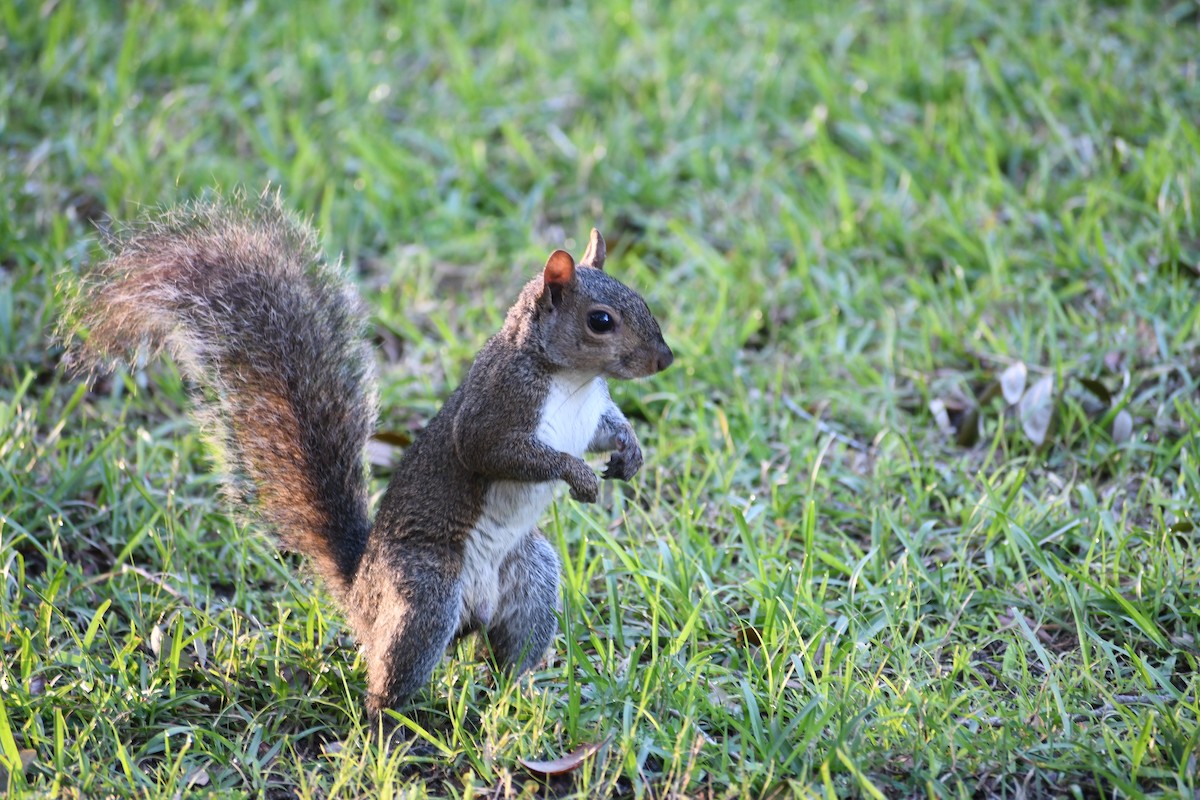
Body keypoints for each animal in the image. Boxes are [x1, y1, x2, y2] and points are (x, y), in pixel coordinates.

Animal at [62, 194, 674, 720]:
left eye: (641, 298)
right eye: (601, 320)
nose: (665, 361)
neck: (571, 380)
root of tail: (362, 595)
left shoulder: (591, 412)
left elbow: (607, 430)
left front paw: (630, 454)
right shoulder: (496, 408)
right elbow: (495, 450)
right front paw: (578, 476)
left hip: (530, 577)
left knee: (508, 652)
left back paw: (522, 695)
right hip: (425, 591)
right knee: (392, 677)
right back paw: (392, 728)